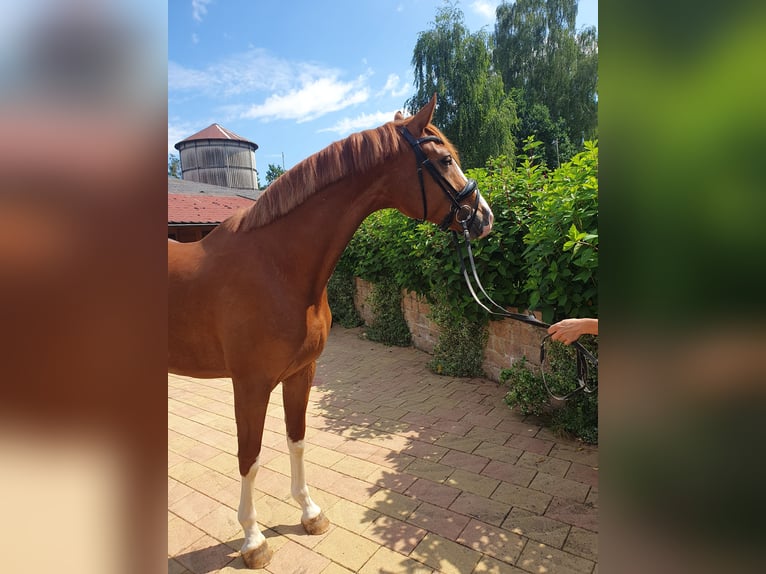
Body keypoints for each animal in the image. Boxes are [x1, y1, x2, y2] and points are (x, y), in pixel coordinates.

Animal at [169, 97, 496, 568]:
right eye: (444, 160)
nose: (485, 218)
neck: (276, 266)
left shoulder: (300, 373)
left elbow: (298, 440)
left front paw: (309, 513)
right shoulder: (250, 385)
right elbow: (250, 457)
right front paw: (253, 539)